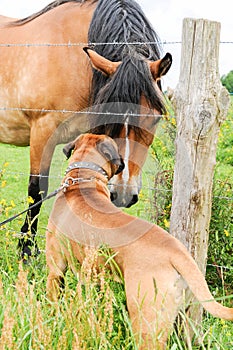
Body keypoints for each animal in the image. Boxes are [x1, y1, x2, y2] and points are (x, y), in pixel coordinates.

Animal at [0, 0, 171, 258]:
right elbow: (37, 190)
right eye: (109, 113)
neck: (72, 56)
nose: (123, 194)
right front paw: (27, 249)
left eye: (154, 119)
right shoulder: (42, 132)